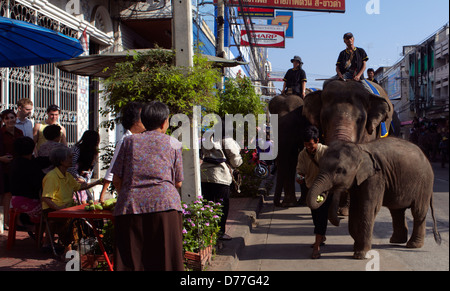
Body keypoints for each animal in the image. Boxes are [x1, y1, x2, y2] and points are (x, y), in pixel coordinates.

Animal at [308, 138, 442, 262]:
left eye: (340, 170)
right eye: (320, 165)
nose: (322, 195)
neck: (360, 149)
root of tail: (426, 157)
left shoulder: (376, 177)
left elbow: (368, 208)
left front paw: (360, 255)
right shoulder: (359, 181)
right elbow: (355, 209)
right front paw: (356, 247)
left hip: (424, 184)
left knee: (418, 211)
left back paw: (413, 245)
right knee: (397, 211)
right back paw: (396, 241)